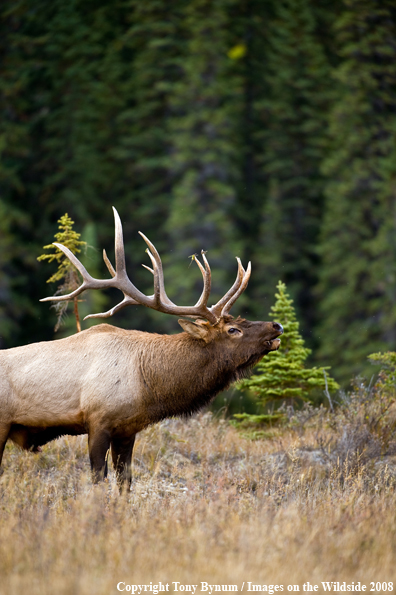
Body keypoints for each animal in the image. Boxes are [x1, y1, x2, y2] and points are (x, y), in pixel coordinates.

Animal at [0, 210, 282, 488]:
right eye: (233, 330)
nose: (277, 325)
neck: (147, 385)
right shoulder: (97, 420)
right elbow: (97, 478)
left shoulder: (127, 429)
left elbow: (125, 480)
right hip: (3, 423)